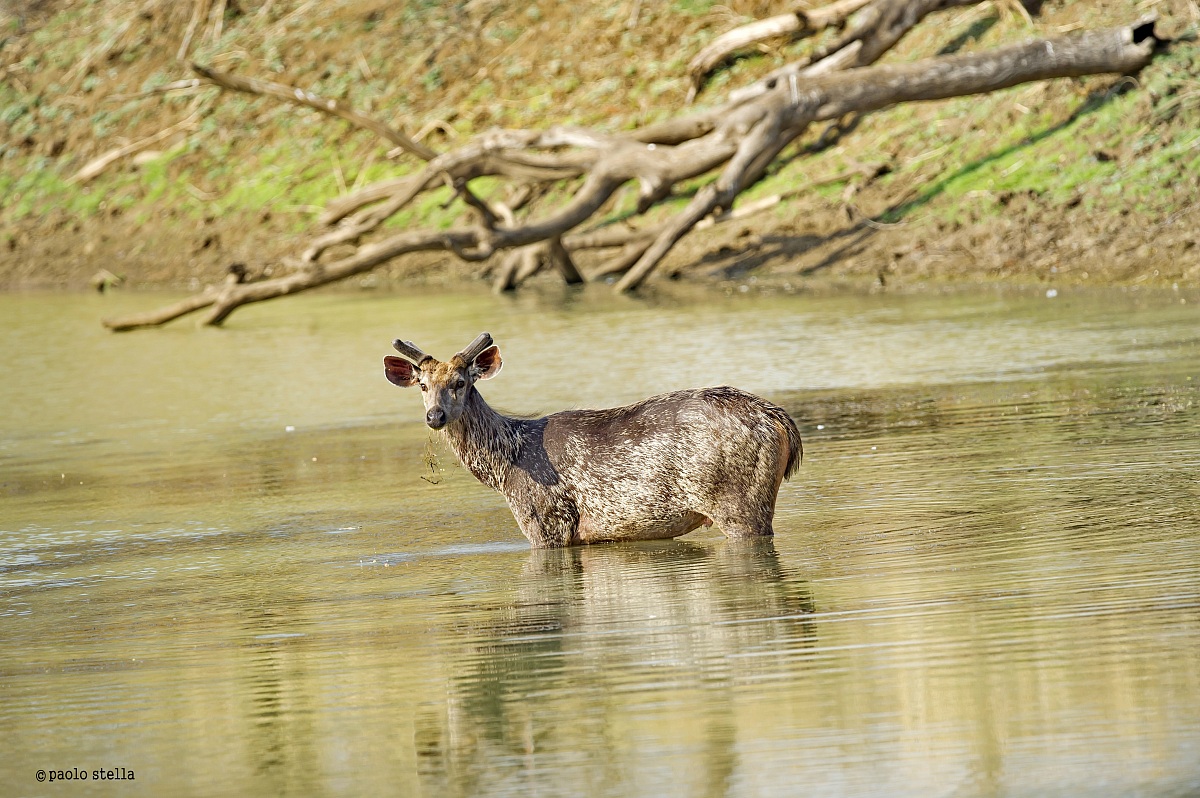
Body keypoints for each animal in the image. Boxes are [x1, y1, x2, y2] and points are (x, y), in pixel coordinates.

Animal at [383, 332, 802, 548]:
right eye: (422, 385)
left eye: (459, 382)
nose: (435, 416)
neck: (505, 466)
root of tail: (779, 420)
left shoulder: (546, 522)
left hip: (736, 500)